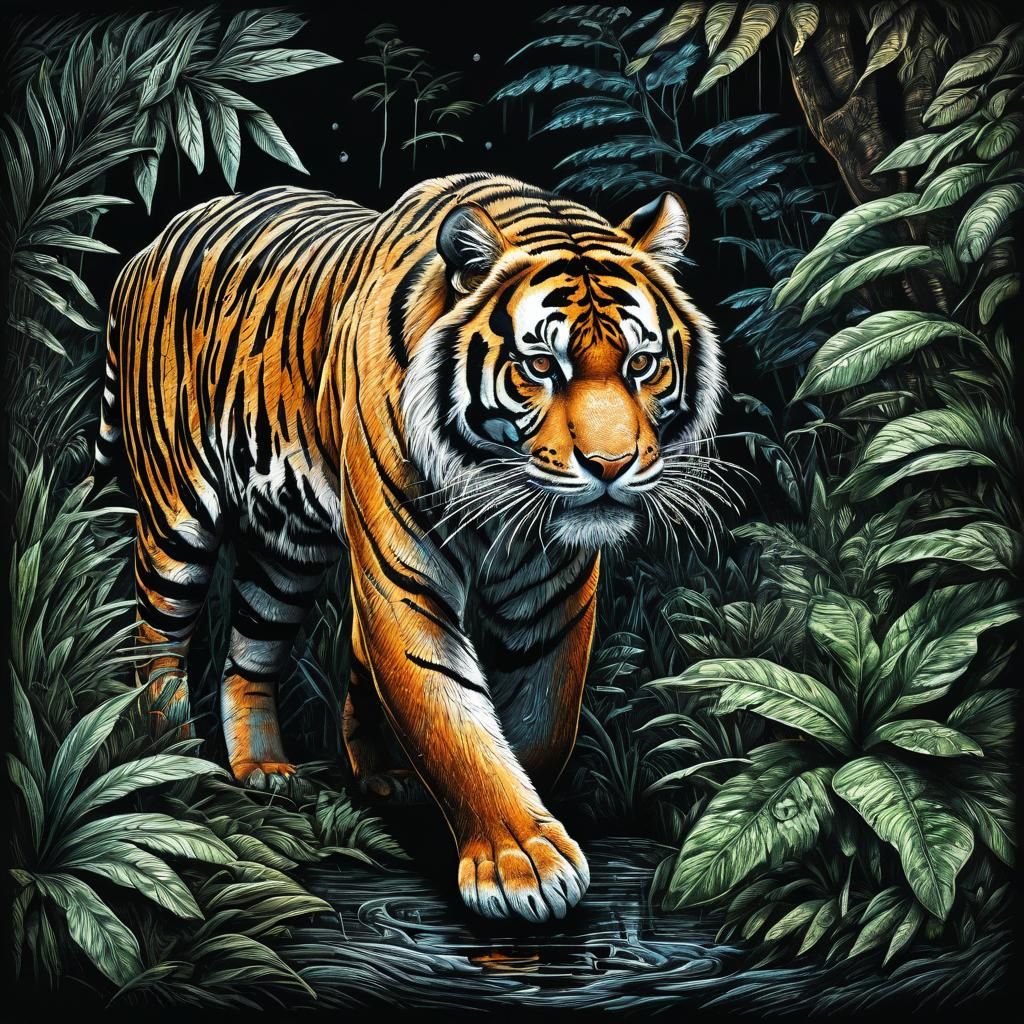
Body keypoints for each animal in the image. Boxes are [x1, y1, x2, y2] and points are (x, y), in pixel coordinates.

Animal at [94, 172, 724, 922]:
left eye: (643, 363)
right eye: (541, 365)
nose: (611, 465)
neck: (496, 482)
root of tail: (150, 244)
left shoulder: (553, 594)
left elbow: (541, 720)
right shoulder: (403, 577)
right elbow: (451, 718)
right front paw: (521, 862)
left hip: (285, 555)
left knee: (248, 655)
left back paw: (264, 771)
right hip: (176, 519)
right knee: (155, 644)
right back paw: (178, 765)